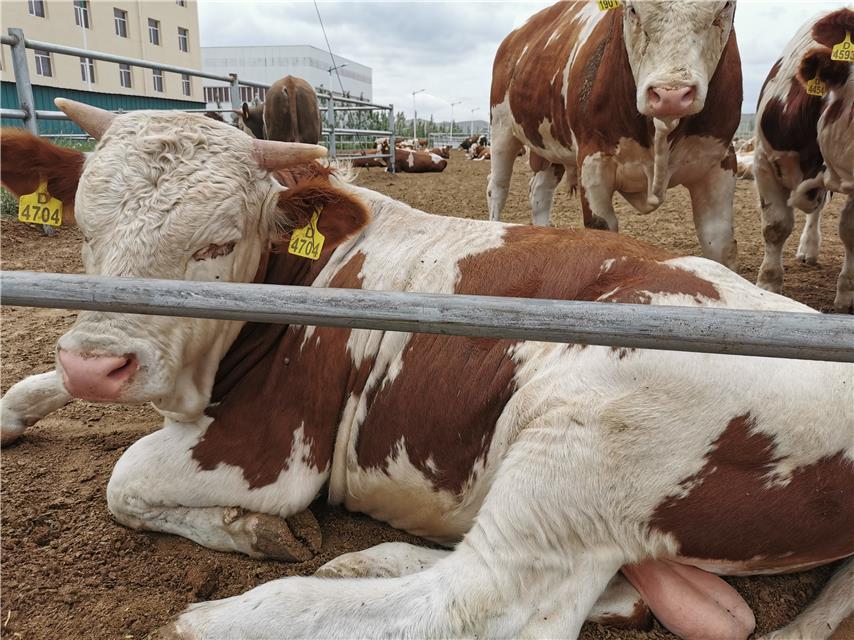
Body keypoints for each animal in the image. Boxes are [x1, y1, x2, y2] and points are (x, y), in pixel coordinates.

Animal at [1, 100, 854, 640]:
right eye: (84, 229)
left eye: (218, 242)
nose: (99, 366)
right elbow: (37, 381)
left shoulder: (275, 450)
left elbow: (125, 482)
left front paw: (253, 529)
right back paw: (364, 563)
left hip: (596, 430)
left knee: (480, 604)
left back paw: (218, 621)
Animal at [488, 0, 744, 268]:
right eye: (631, 9)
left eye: (725, 7)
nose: (670, 95)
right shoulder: (593, 162)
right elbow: (601, 229)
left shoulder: (719, 162)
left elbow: (719, 242)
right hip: (501, 129)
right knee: (498, 187)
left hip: (551, 145)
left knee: (540, 191)